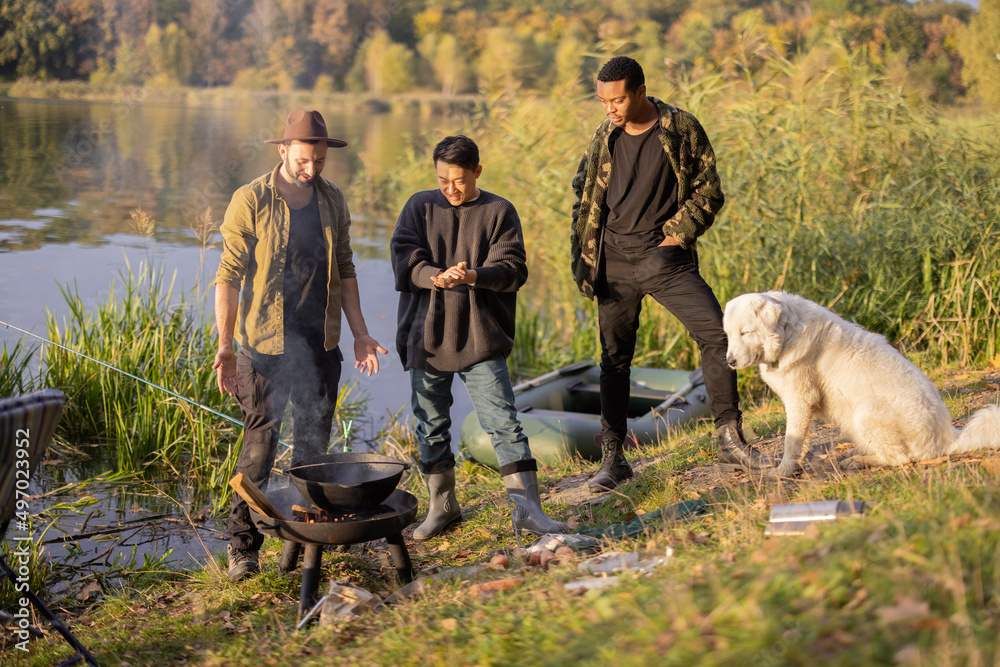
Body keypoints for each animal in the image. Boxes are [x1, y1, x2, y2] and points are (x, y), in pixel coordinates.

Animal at [724, 290, 1000, 478]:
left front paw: (783, 472)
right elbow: (801, 441)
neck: (787, 332)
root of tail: (950, 439)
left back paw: (858, 461)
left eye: (745, 332)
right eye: (728, 334)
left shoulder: (799, 400)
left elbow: (791, 442)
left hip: (866, 410)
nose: (729, 361)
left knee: (900, 459)